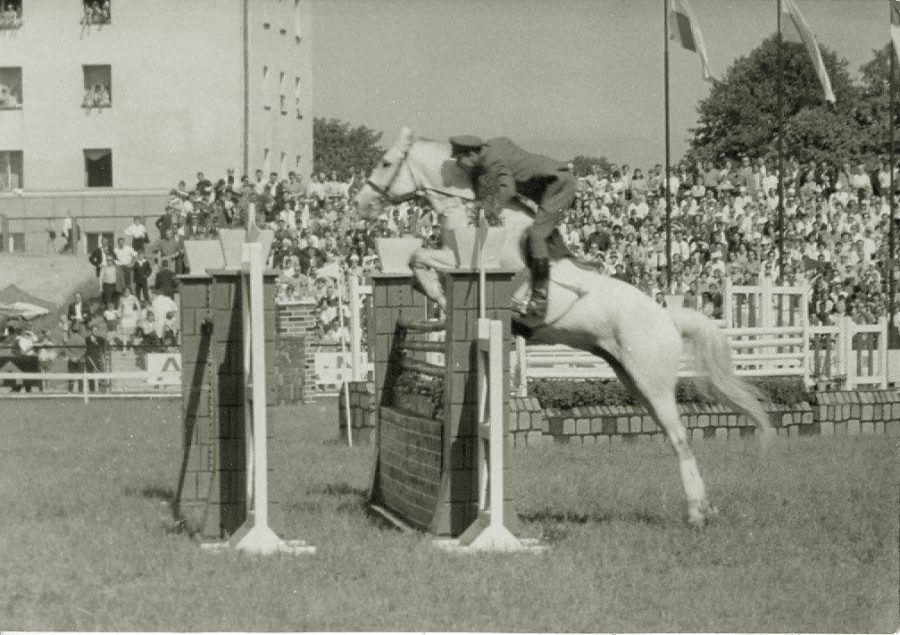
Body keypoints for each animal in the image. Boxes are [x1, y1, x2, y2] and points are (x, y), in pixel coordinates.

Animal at [356, 128, 768, 528]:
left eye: (386, 162)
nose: (361, 203)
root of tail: (668, 317)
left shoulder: (472, 261)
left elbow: (421, 257)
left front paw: (439, 294)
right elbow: (417, 259)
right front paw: (433, 292)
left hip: (652, 380)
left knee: (681, 438)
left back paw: (697, 514)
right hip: (635, 380)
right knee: (672, 435)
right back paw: (703, 508)